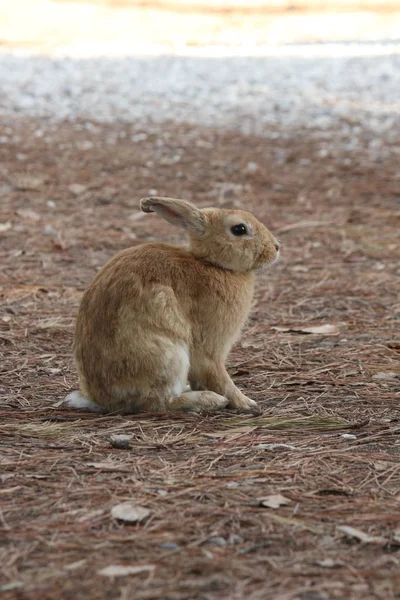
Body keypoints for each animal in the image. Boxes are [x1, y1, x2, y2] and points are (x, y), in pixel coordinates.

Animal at [64, 197, 280, 412]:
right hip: (168, 356)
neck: (213, 264)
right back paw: (209, 400)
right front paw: (246, 403)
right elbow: (218, 376)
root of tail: (101, 399)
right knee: (158, 402)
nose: (276, 247)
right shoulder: (210, 349)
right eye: (239, 229)